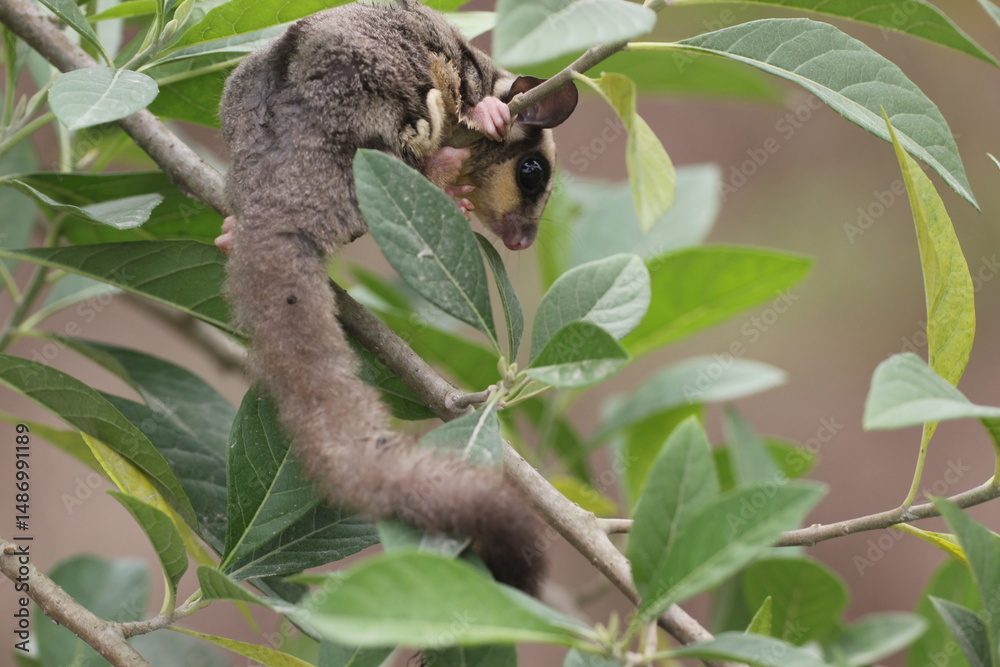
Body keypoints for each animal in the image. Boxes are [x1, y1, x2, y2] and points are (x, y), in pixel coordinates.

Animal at [218, 0, 577, 594]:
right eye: (532, 173)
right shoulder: (459, 77)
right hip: (378, 126)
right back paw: (442, 168)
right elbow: (469, 101)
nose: (522, 240)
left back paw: (230, 229)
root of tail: (283, 186)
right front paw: (487, 118)